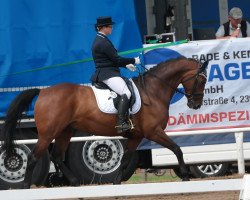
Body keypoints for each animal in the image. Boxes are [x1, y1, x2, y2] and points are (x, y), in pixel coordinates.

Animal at [0, 56, 207, 189]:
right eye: (202, 80)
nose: (195, 104)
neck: (153, 91)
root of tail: (43, 92)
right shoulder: (153, 131)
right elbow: (177, 149)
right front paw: (185, 175)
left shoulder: (136, 136)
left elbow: (125, 159)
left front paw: (116, 181)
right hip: (48, 133)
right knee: (34, 157)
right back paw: (25, 186)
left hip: (65, 132)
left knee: (57, 156)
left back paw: (74, 182)